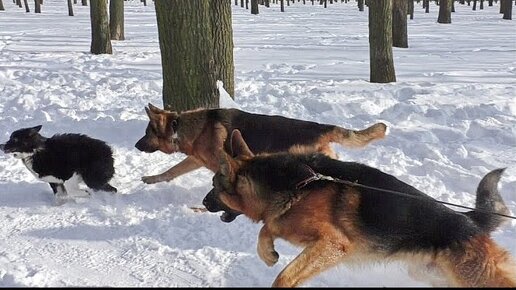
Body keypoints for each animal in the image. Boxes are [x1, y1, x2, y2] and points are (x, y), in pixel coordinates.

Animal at [137, 103, 388, 219]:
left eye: (147, 133)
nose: (136, 145)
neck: (178, 127)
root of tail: (324, 128)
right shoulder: (196, 159)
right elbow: (171, 171)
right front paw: (152, 179)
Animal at [207, 131, 516, 288]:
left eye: (213, 185)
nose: (205, 203)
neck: (293, 183)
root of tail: (470, 222)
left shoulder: (333, 244)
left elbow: (284, 275)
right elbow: (267, 227)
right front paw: (268, 253)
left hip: (475, 279)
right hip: (431, 275)